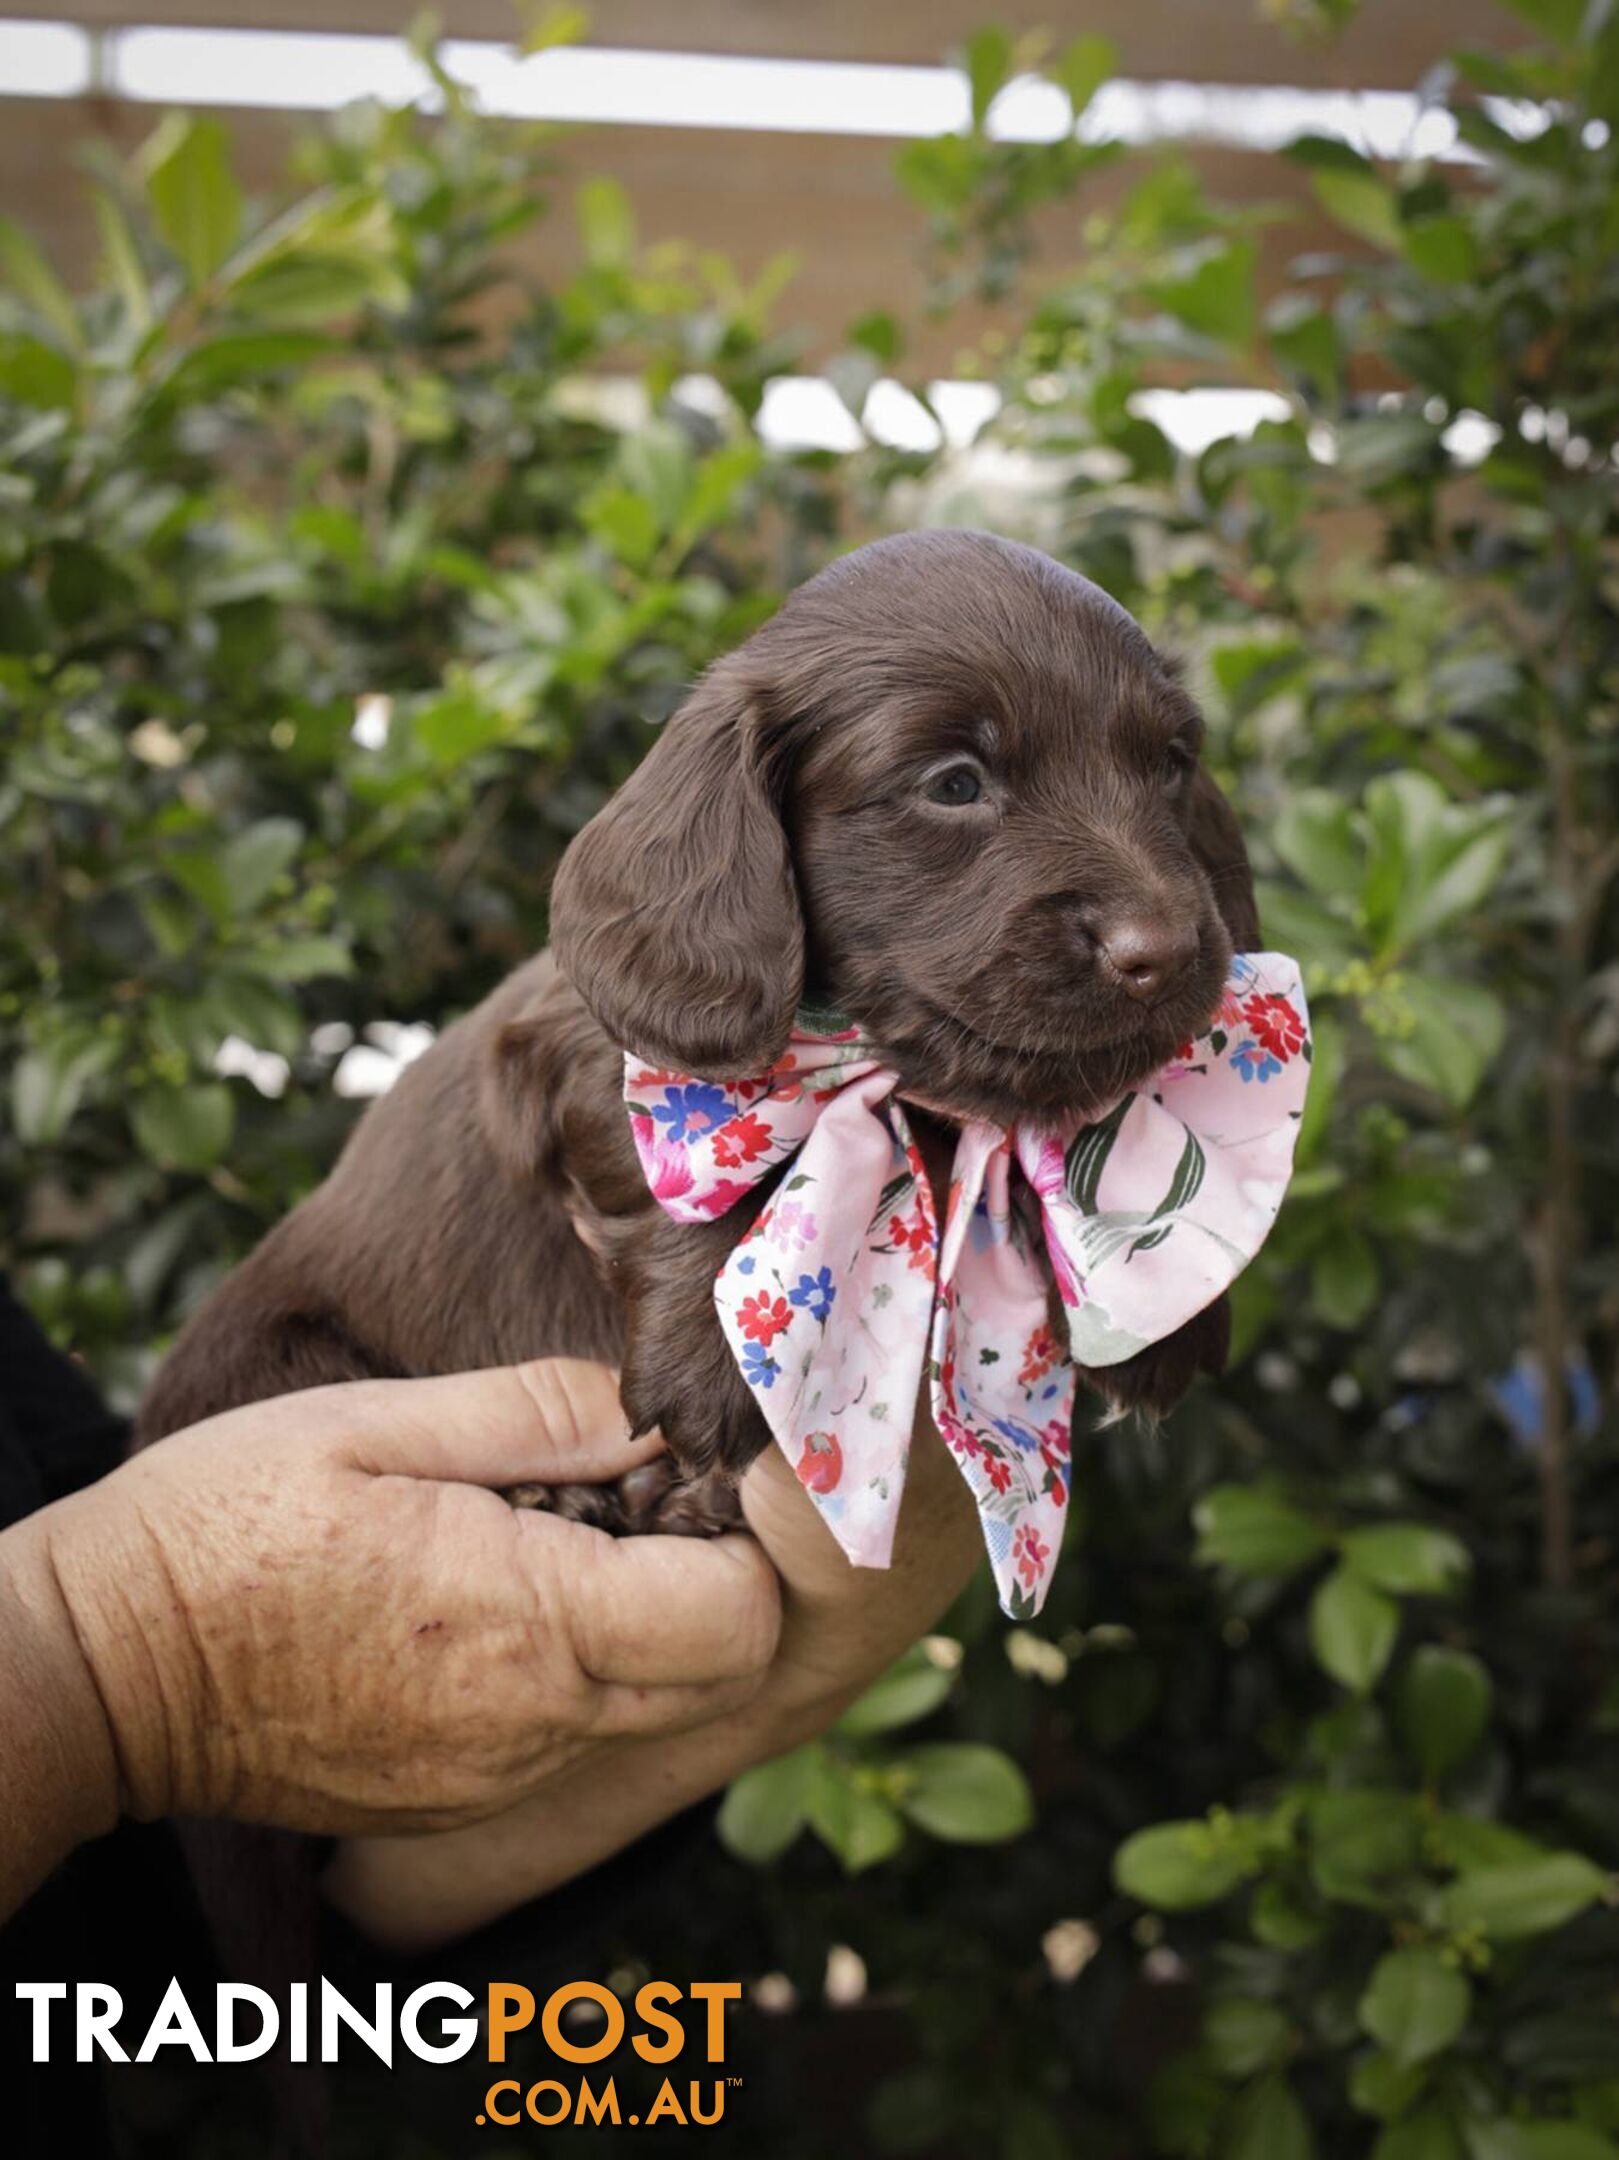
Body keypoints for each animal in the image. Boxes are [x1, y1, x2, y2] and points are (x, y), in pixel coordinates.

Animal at [139, 531, 1260, 1529]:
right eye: (953, 784)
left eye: (1170, 764)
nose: (1161, 950)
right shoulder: (576, 1056)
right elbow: (712, 1172)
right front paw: (707, 1367)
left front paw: (1164, 1313)